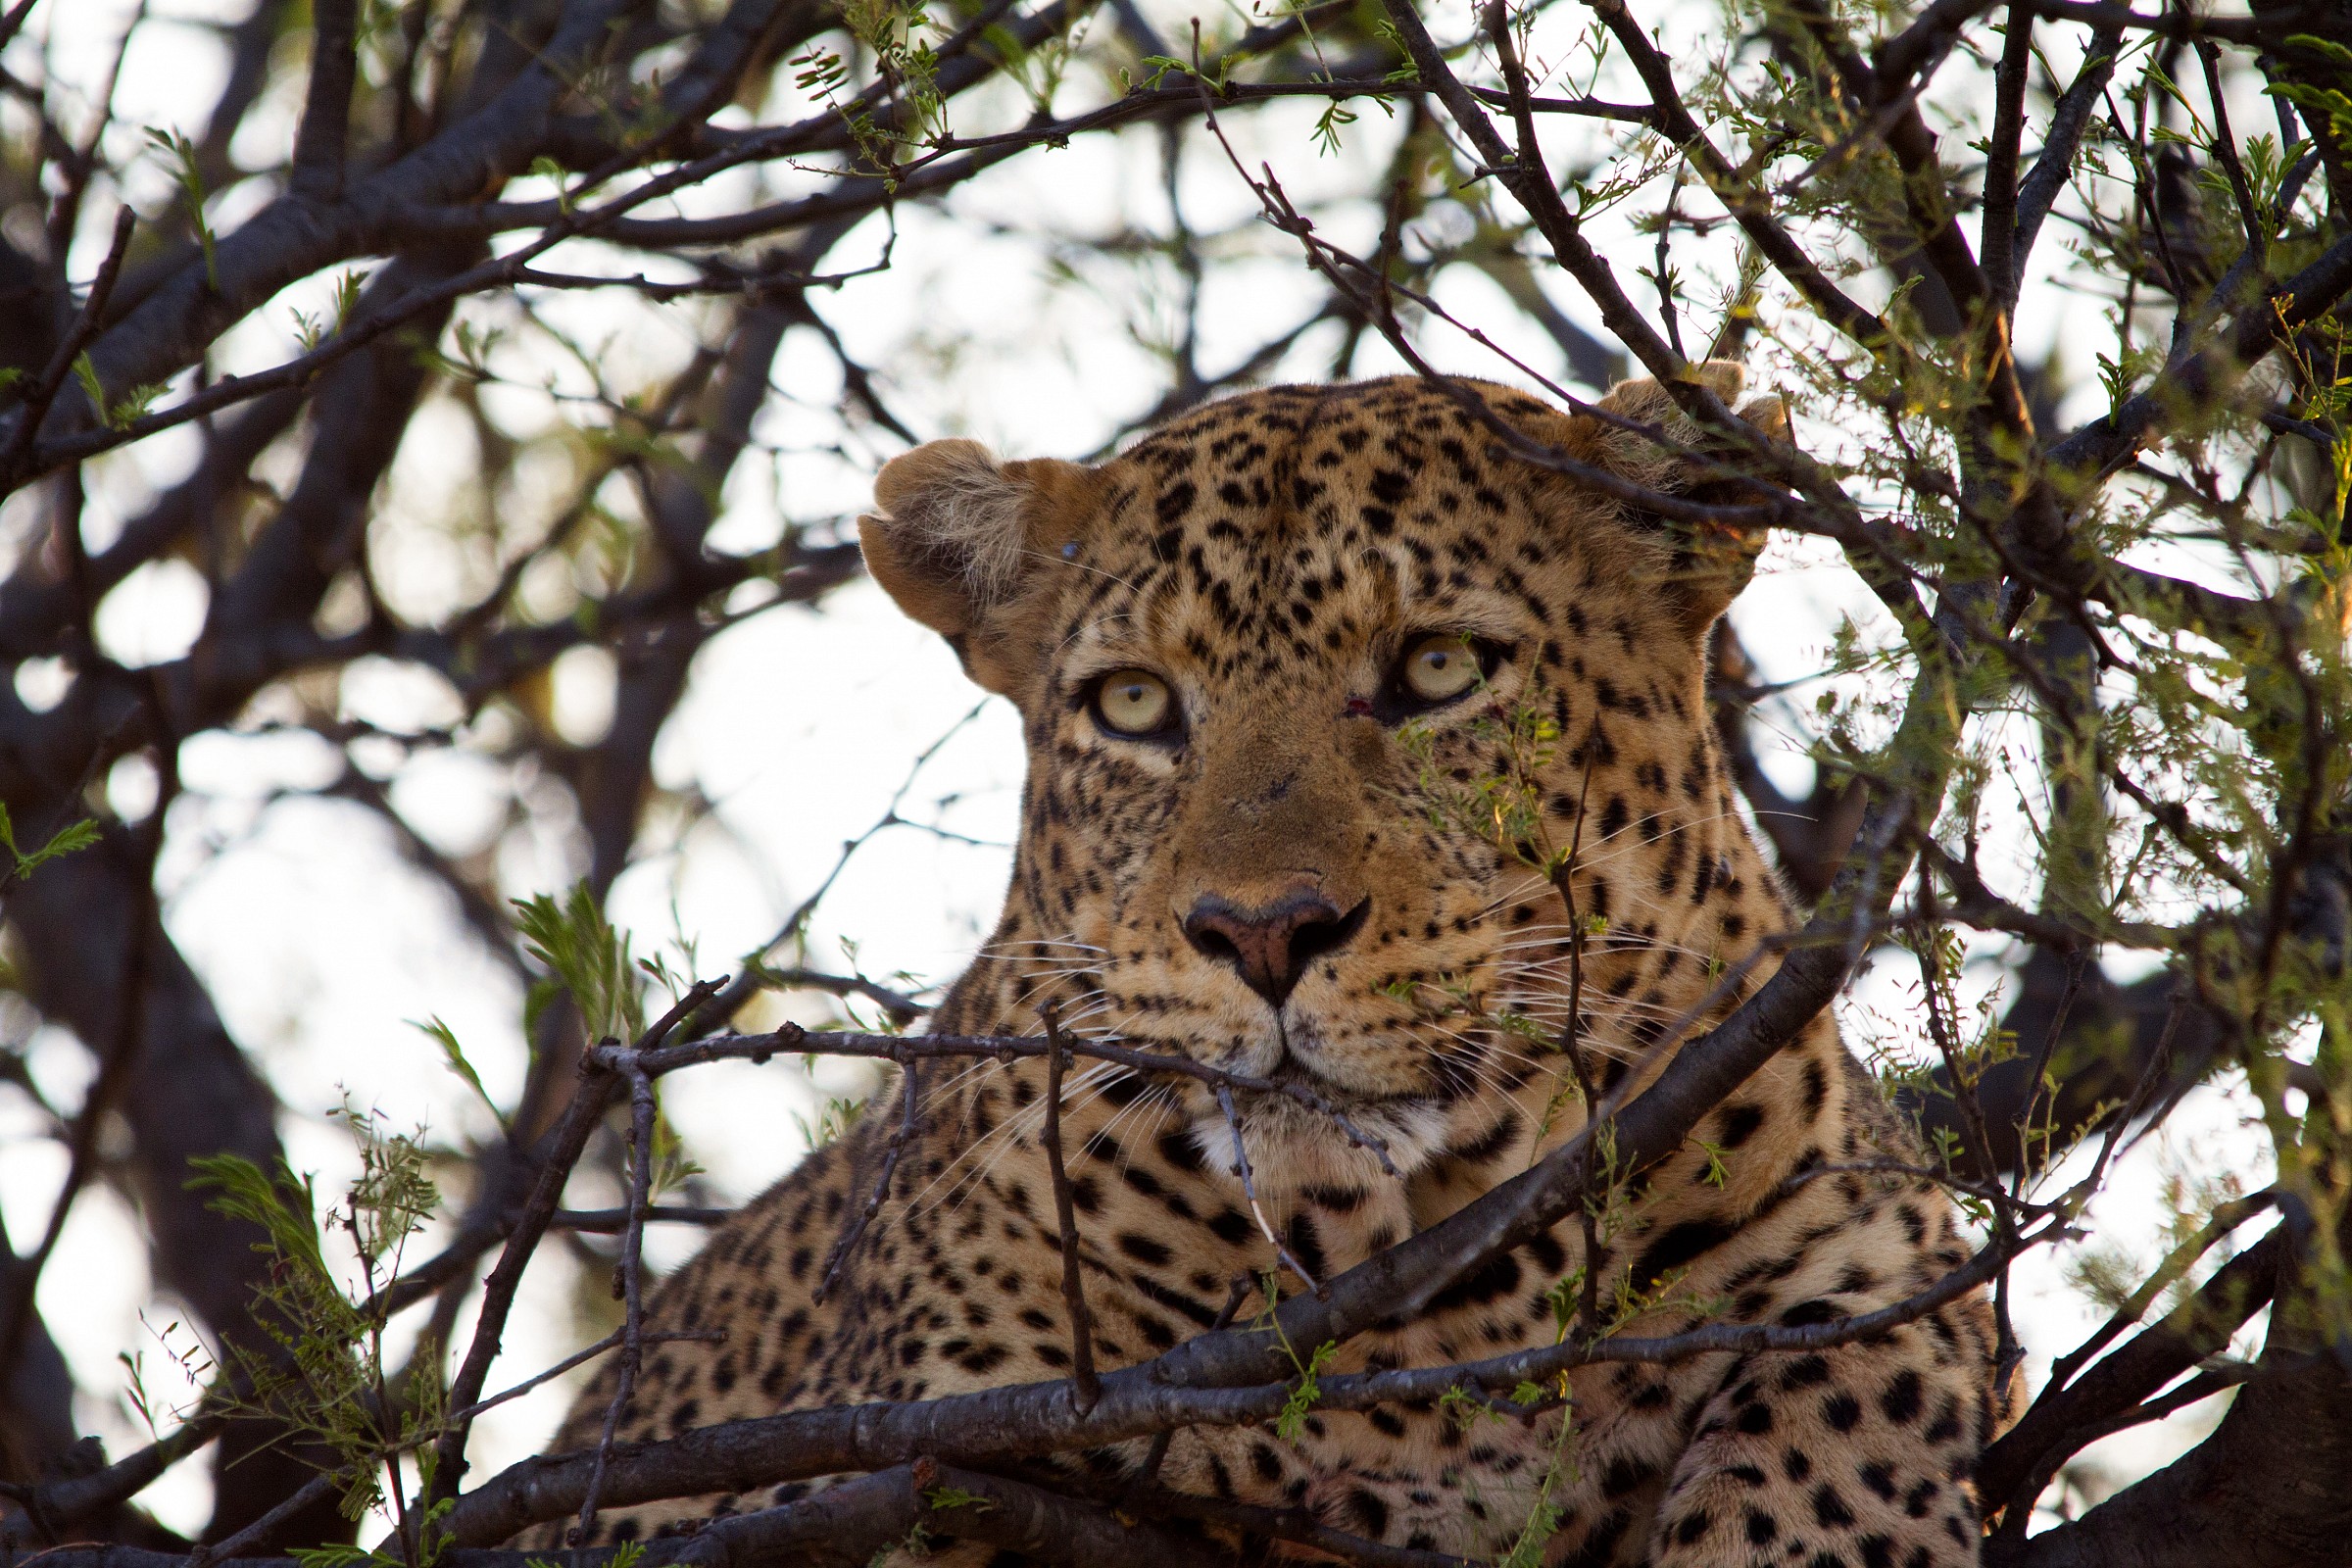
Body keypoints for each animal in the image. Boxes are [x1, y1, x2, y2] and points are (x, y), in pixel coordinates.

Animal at [530, 365, 2006, 1567]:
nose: (1261, 932)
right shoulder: (867, 1463)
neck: (1439, 1304)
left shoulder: (1869, 1252)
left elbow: (1837, 1422)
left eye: (1440, 667)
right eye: (1133, 704)